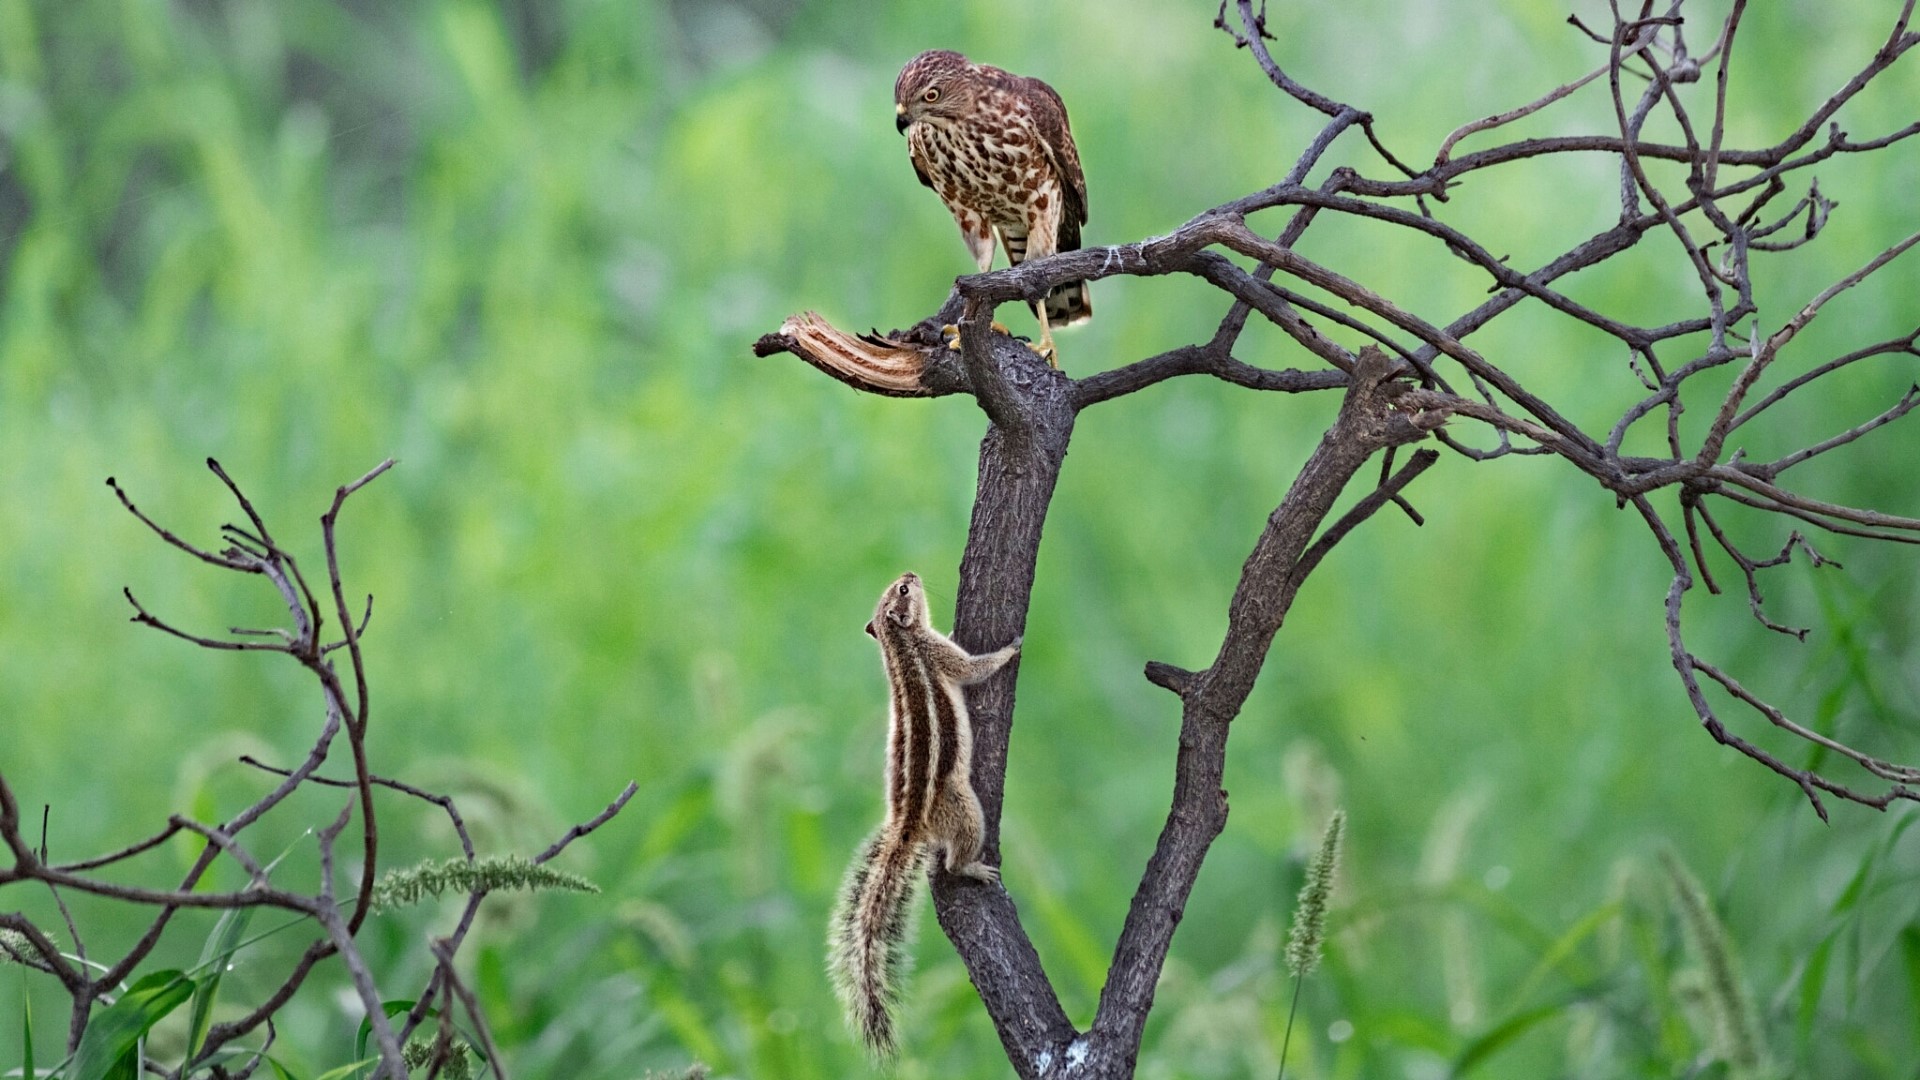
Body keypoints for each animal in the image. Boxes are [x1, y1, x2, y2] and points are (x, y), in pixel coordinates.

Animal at [828, 571, 1021, 1058]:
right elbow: (974, 668)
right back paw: (973, 869)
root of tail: (909, 825)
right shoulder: (939, 654)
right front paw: (1011, 648)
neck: (899, 642)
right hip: (966, 809)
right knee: (954, 860)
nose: (910, 575)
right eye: (902, 592)